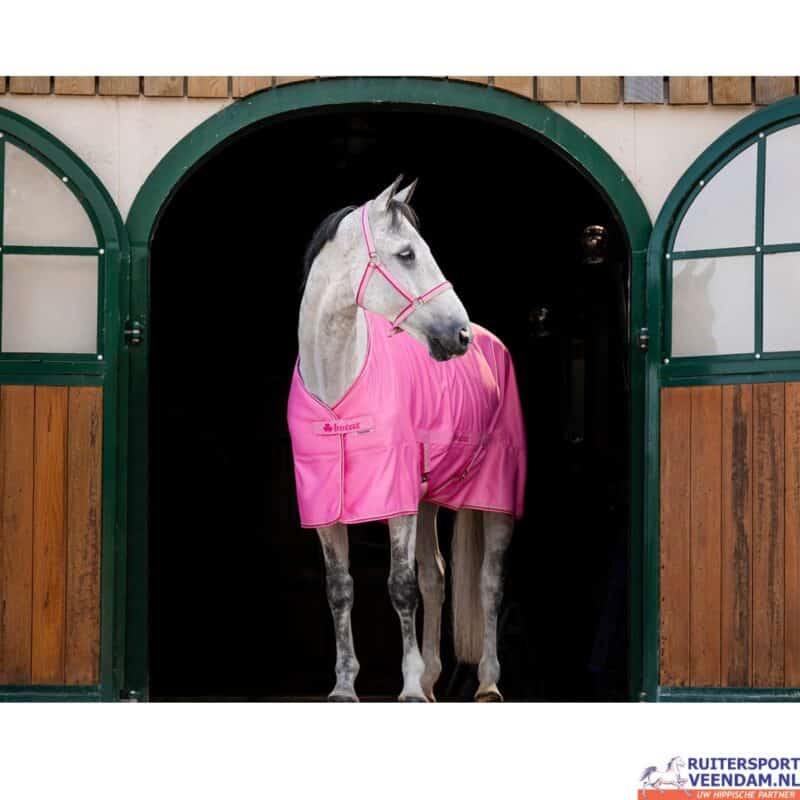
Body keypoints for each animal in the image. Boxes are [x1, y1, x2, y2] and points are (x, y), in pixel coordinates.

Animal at [288, 177, 526, 702]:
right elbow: (340, 588)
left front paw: (411, 687)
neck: (339, 384)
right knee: (436, 576)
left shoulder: (395, 500)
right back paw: (437, 678)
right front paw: (344, 687)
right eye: (407, 254)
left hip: (495, 497)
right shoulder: (325, 507)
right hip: (428, 499)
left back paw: (487, 683)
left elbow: (401, 586)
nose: (458, 336)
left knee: (488, 582)